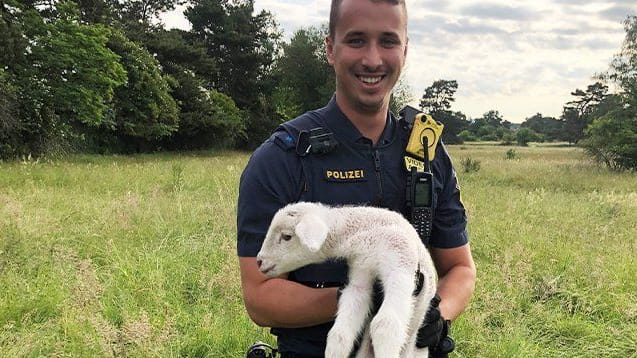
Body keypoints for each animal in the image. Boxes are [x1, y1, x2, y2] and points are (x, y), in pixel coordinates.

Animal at [255, 203, 438, 356]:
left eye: (287, 236)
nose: (259, 261)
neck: (366, 233)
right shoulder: (361, 272)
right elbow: (339, 335)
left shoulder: (400, 264)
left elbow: (386, 325)